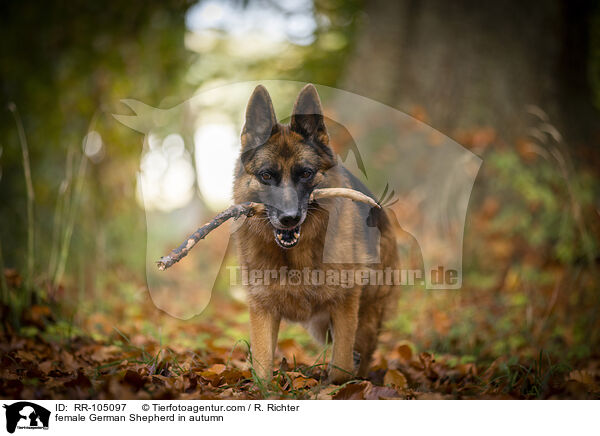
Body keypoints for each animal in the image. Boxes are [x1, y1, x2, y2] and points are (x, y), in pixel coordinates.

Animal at [234, 83, 398, 384]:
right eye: (266, 176)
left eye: (306, 173)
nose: (289, 218)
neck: (295, 258)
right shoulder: (262, 308)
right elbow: (262, 362)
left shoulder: (345, 305)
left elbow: (342, 362)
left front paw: (338, 388)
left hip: (367, 317)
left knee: (362, 352)